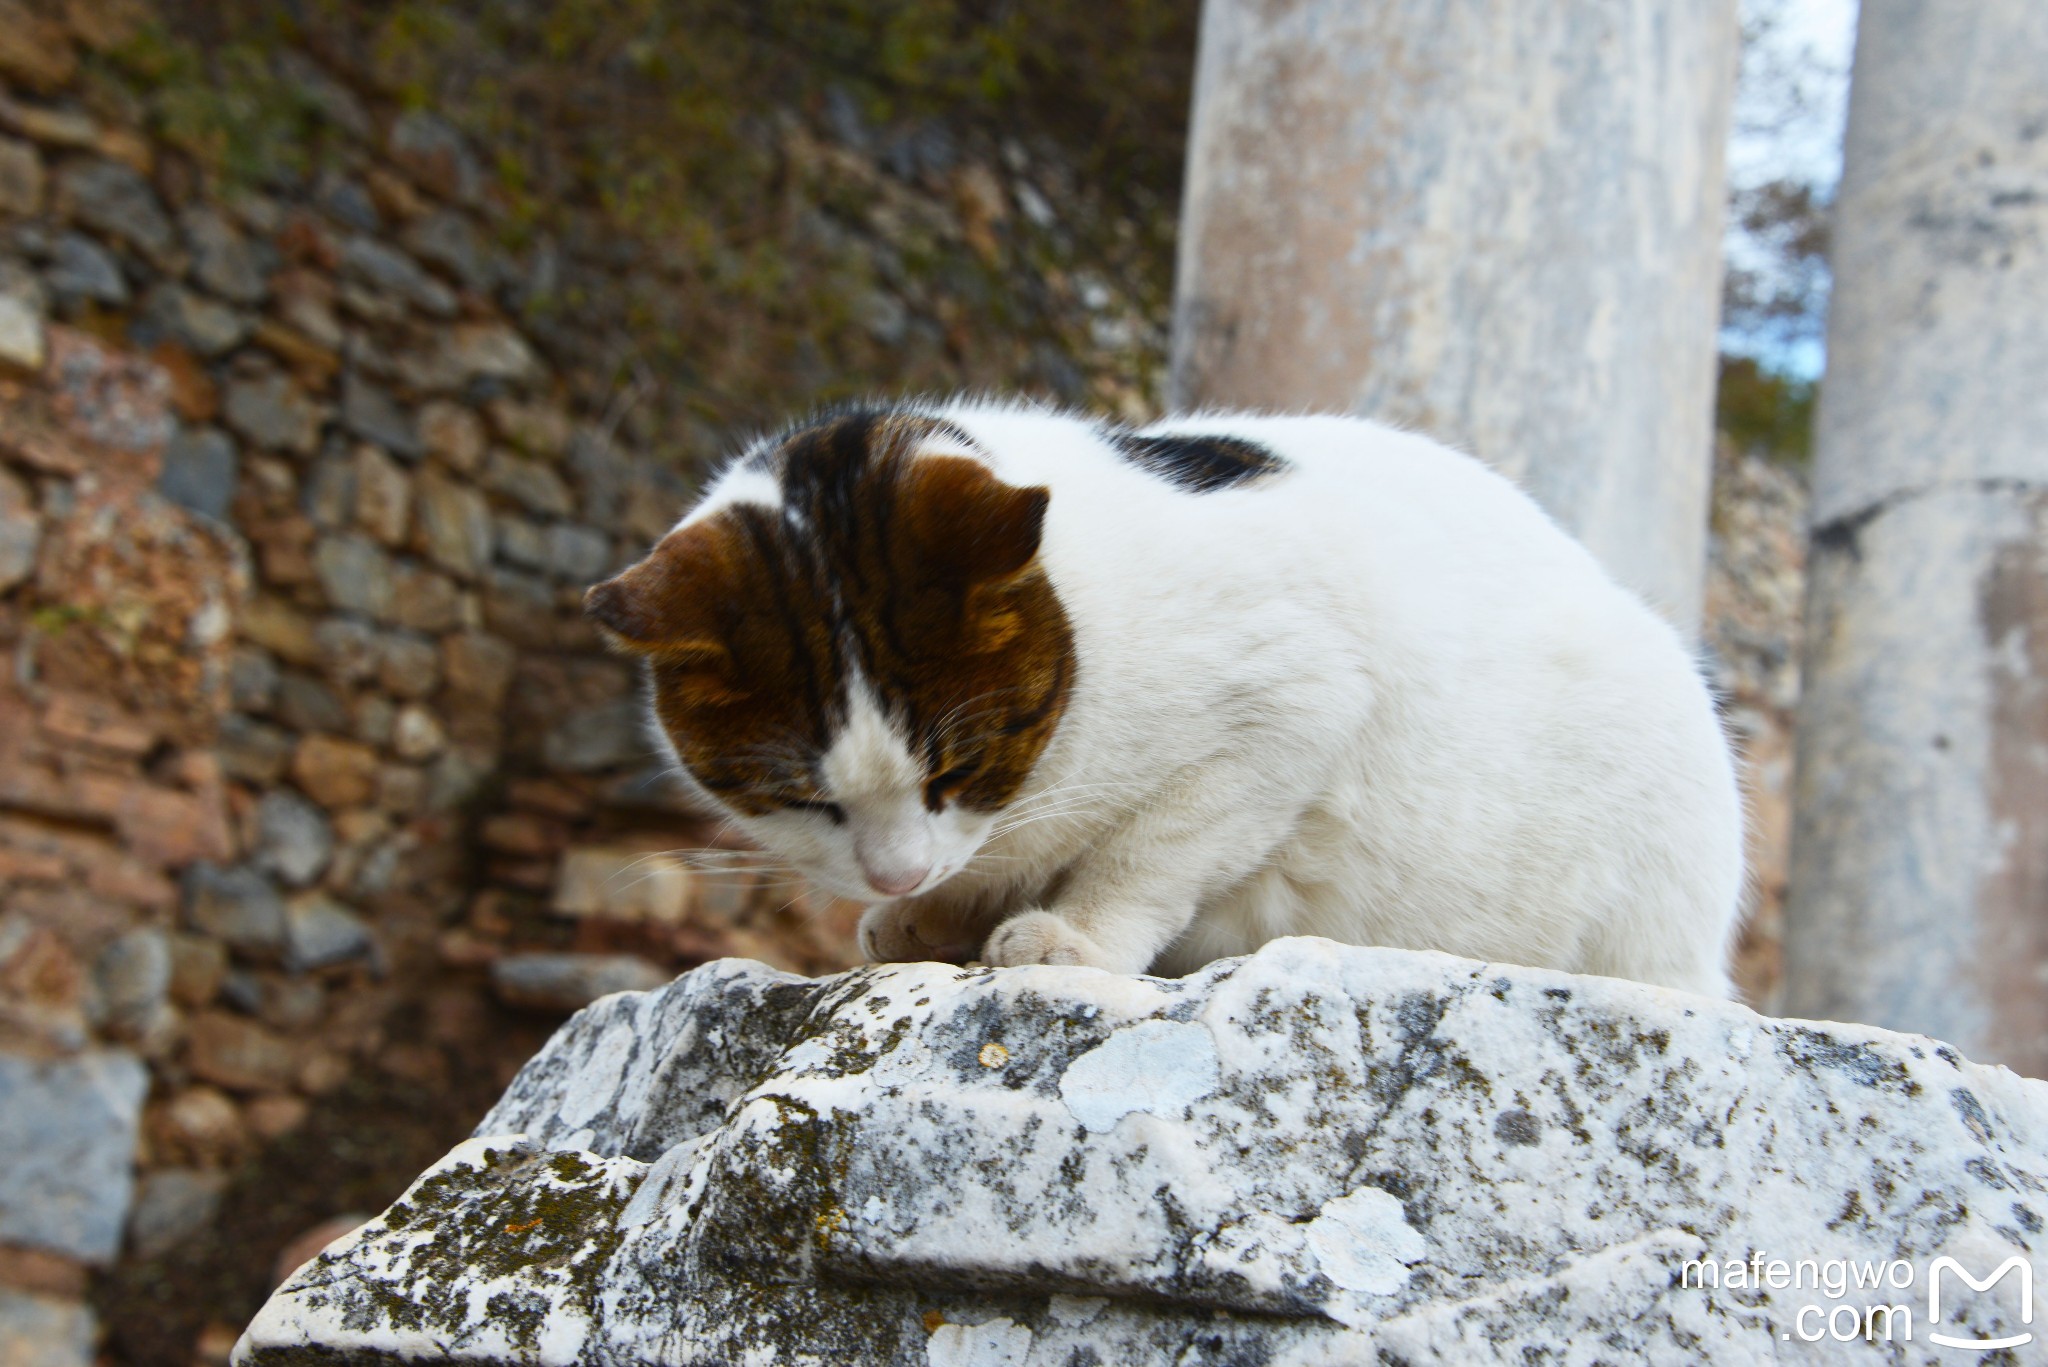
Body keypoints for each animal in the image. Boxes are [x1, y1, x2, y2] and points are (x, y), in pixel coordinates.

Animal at [589, 401, 1744, 1000]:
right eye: (803, 799)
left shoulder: (1291, 708)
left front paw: (1069, 938)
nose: (896, 870)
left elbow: (1144, 853)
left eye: (958, 767)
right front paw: (932, 914)